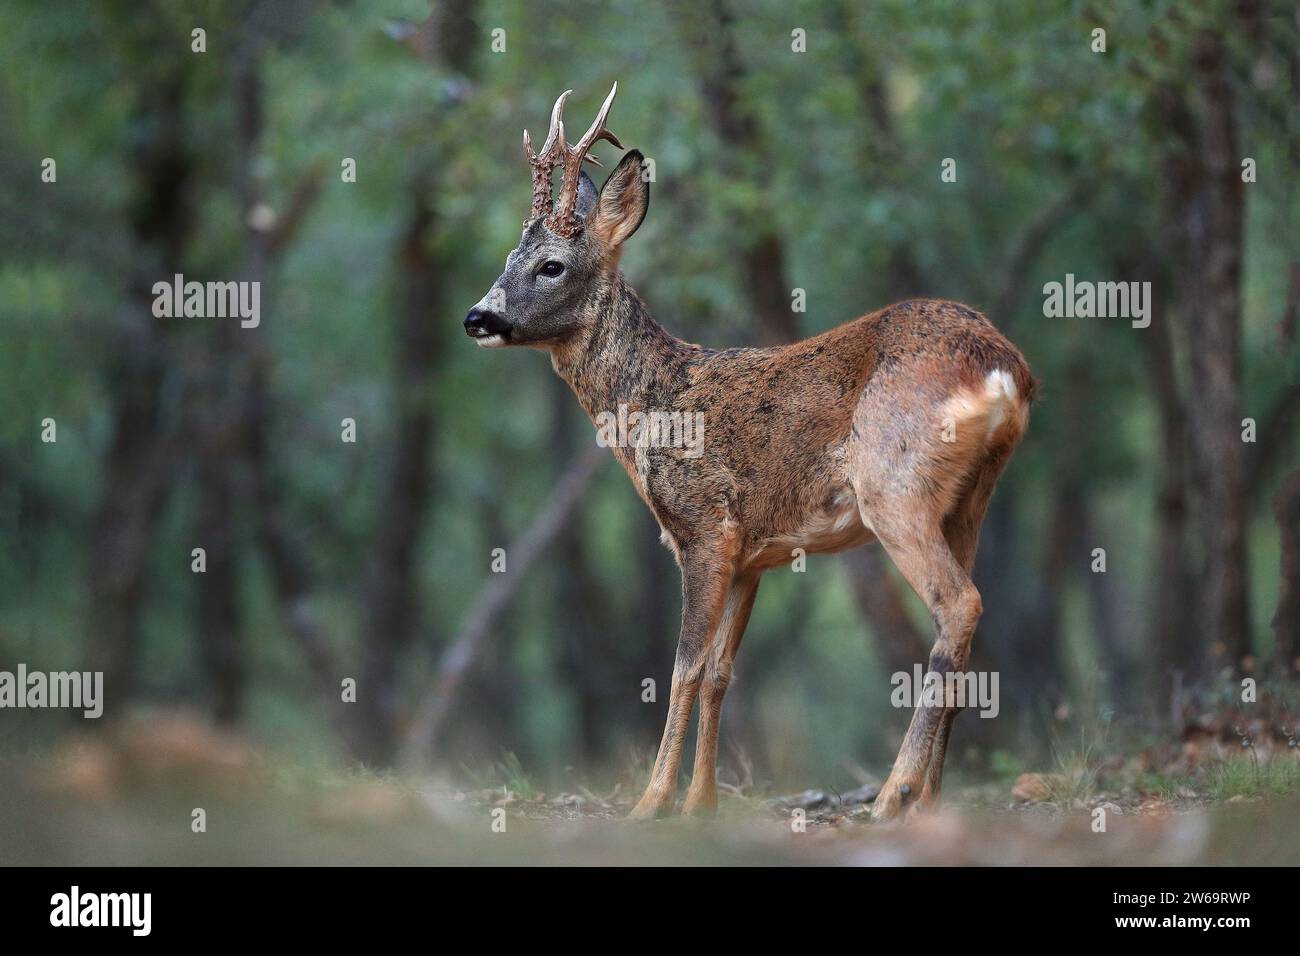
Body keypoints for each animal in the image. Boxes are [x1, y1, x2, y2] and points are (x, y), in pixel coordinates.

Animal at [464, 84, 1035, 821]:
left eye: (550, 265)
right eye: (508, 259)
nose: (476, 317)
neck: (652, 406)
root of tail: (1004, 367)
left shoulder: (704, 527)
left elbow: (681, 666)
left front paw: (652, 802)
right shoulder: (752, 552)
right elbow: (718, 672)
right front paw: (700, 803)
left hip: (893, 485)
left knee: (958, 605)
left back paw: (894, 793)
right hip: (970, 500)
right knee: (967, 621)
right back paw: (929, 800)